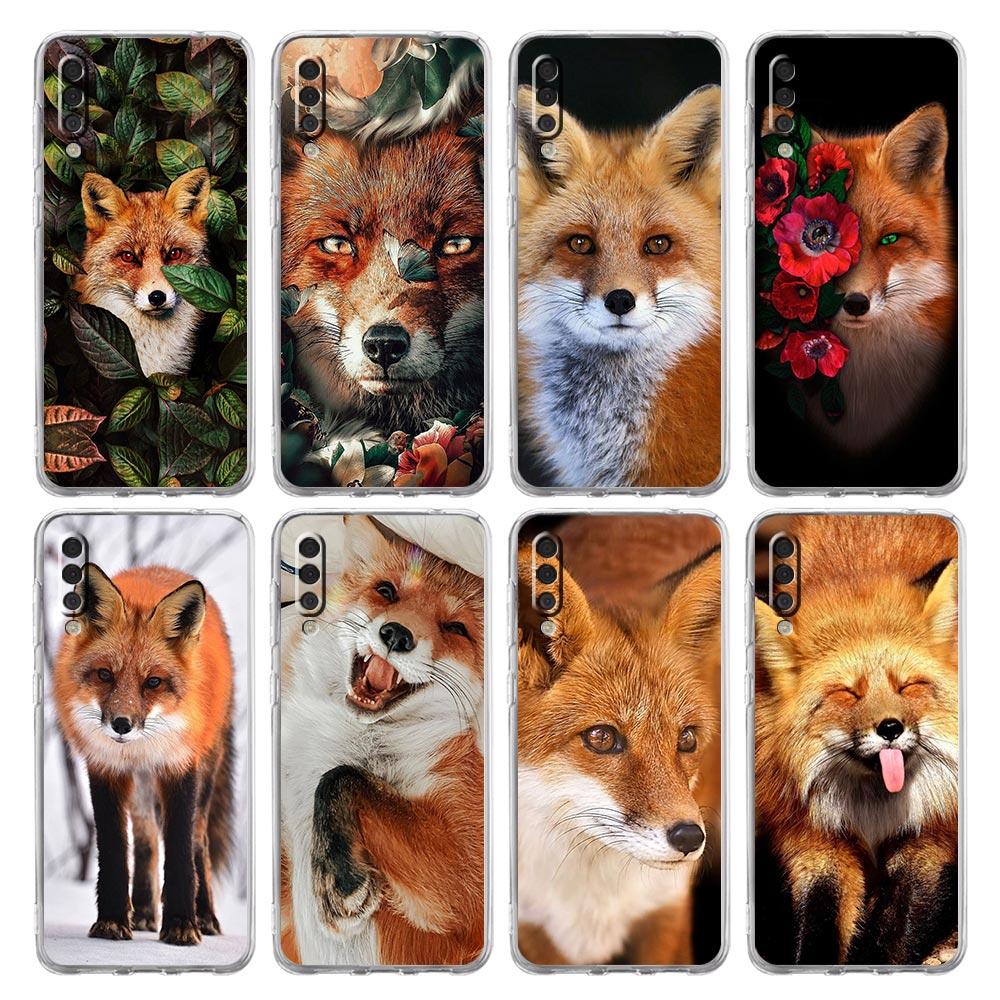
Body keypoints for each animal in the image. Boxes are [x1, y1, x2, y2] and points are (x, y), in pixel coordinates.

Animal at [52, 563, 234, 946]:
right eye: (105, 675)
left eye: (153, 682)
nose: (121, 724)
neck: (139, 748)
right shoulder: (105, 768)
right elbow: (114, 851)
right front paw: (111, 921)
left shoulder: (179, 766)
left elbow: (180, 851)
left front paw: (181, 924)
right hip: (140, 790)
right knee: (146, 839)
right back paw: (145, 912)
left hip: (205, 774)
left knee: (199, 842)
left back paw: (205, 916)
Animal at [279, 515, 485, 967]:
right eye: (387, 591)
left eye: (456, 628)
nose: (395, 635)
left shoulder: (470, 881)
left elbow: (341, 777)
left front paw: (342, 878)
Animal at [754, 514, 959, 966]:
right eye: (847, 693)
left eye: (908, 686)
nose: (890, 728)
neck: (874, 810)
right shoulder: (814, 839)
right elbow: (821, 917)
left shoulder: (932, 835)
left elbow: (896, 929)